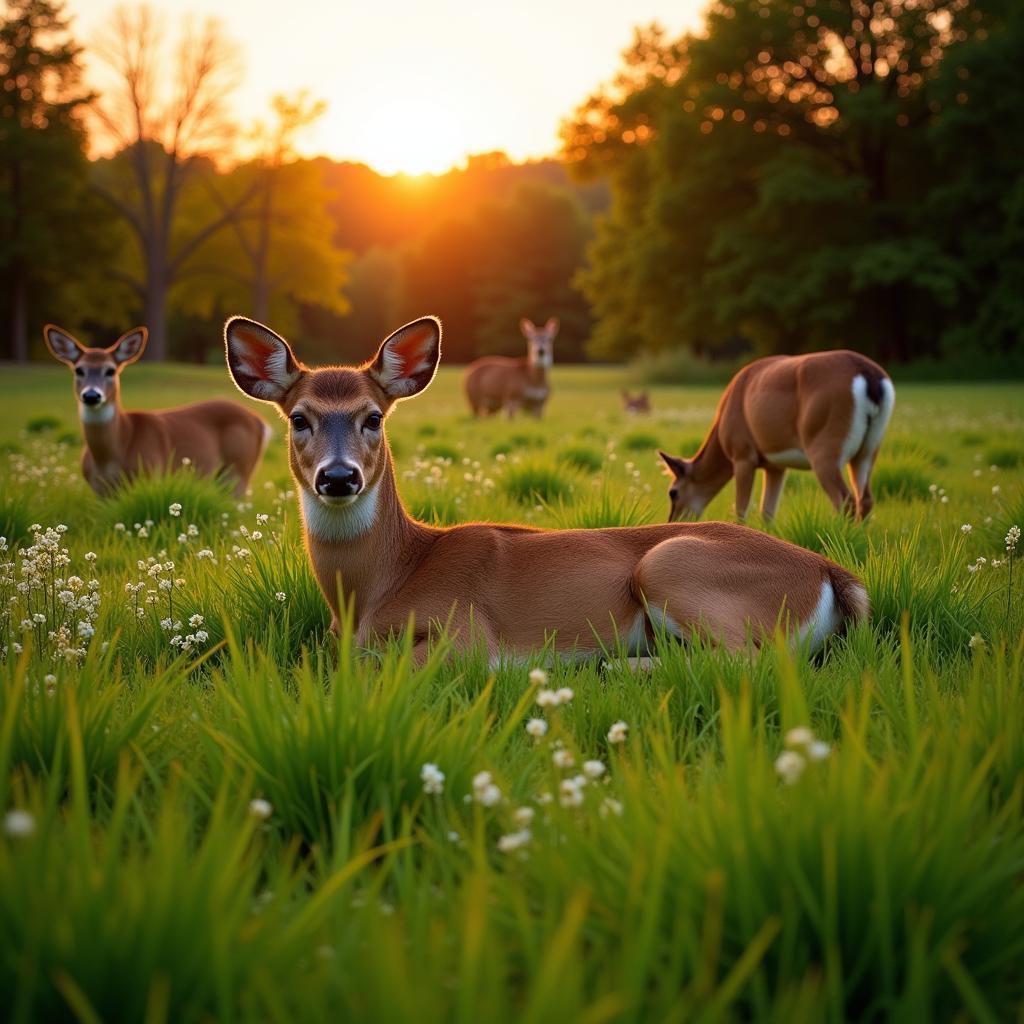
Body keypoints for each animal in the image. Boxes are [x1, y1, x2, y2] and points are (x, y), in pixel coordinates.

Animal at [45, 319, 270, 495]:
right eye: (79, 370)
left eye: (110, 370)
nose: (91, 395)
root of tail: (260, 421)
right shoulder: (100, 491)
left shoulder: (152, 471)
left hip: (239, 468)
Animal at [659, 354, 892, 528]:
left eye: (673, 492)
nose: (672, 522)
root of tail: (869, 375)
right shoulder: (776, 466)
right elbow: (767, 512)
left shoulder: (743, 454)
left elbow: (741, 510)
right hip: (869, 450)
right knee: (865, 499)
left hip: (825, 444)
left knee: (845, 500)